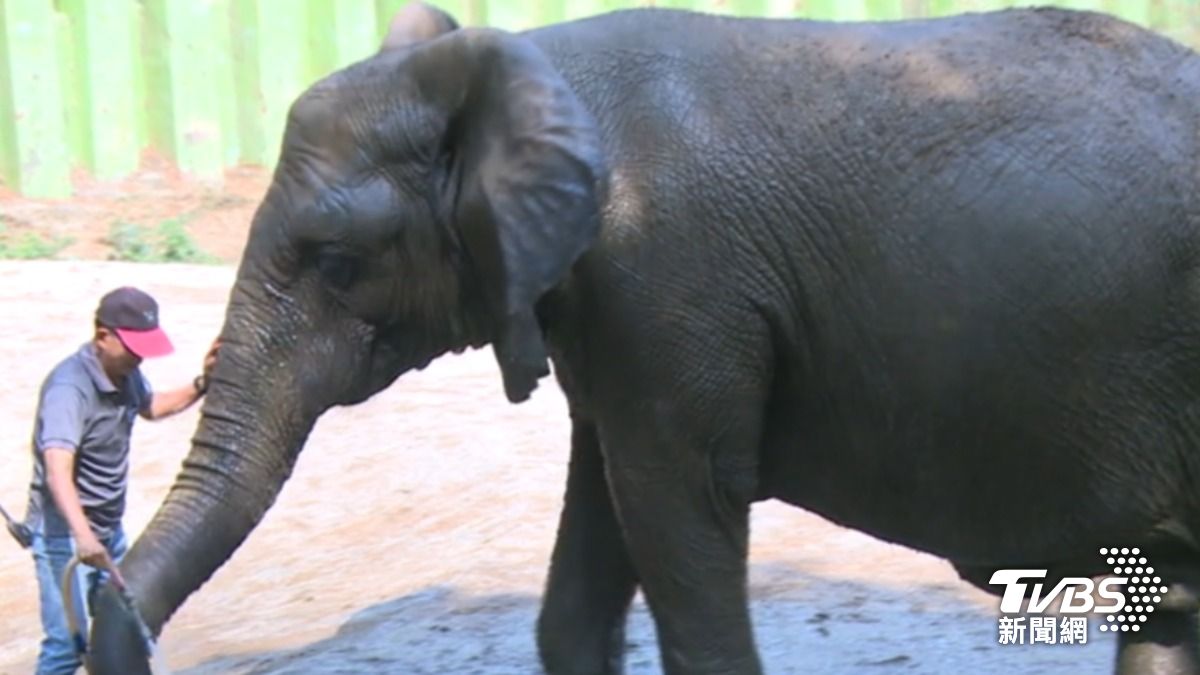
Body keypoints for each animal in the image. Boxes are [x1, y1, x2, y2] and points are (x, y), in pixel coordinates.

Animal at [87, 2, 1200, 673]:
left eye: (335, 259)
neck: (529, 61)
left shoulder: (667, 280)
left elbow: (676, 512)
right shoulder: (605, 315)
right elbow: (591, 555)